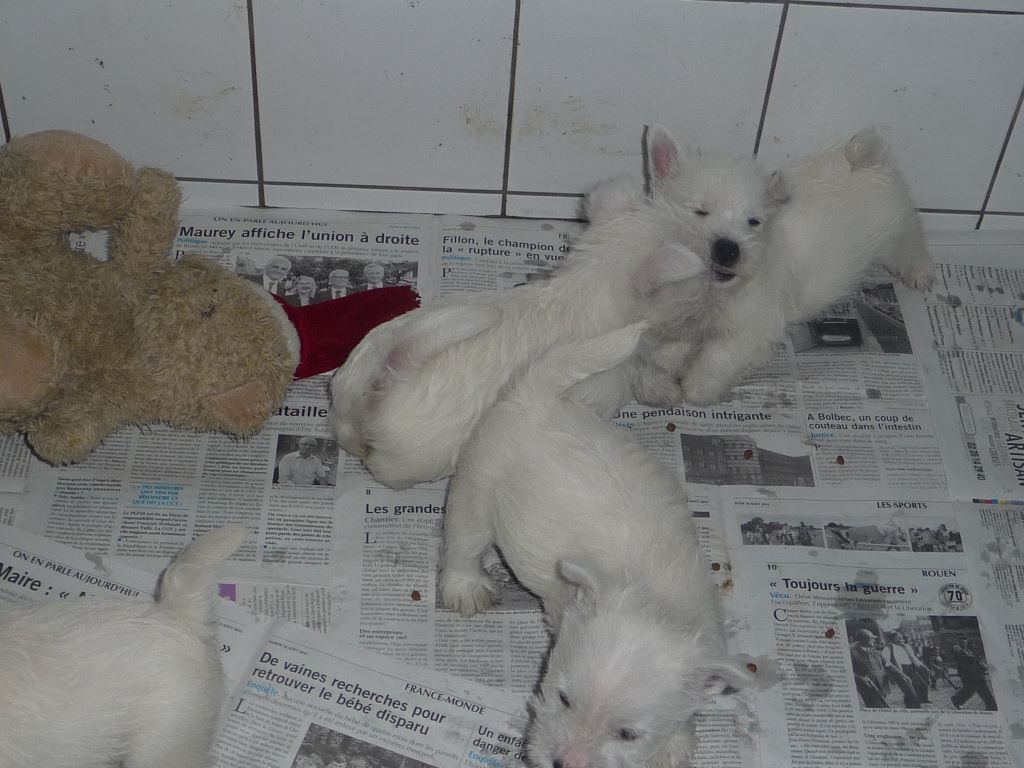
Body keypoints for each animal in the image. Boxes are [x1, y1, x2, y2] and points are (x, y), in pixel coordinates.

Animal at [439, 324, 749, 768]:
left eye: (628, 734)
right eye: (564, 698)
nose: (562, 764)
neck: (652, 596)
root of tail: (535, 394)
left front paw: (675, 742)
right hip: (475, 491)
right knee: (463, 544)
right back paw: (465, 587)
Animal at [578, 125, 935, 408]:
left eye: (754, 222)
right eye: (700, 211)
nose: (728, 249)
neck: (714, 295)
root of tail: (869, 161)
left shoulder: (753, 329)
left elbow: (717, 356)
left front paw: (697, 391)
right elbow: (655, 355)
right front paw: (661, 385)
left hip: (897, 234)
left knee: (913, 243)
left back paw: (921, 274)